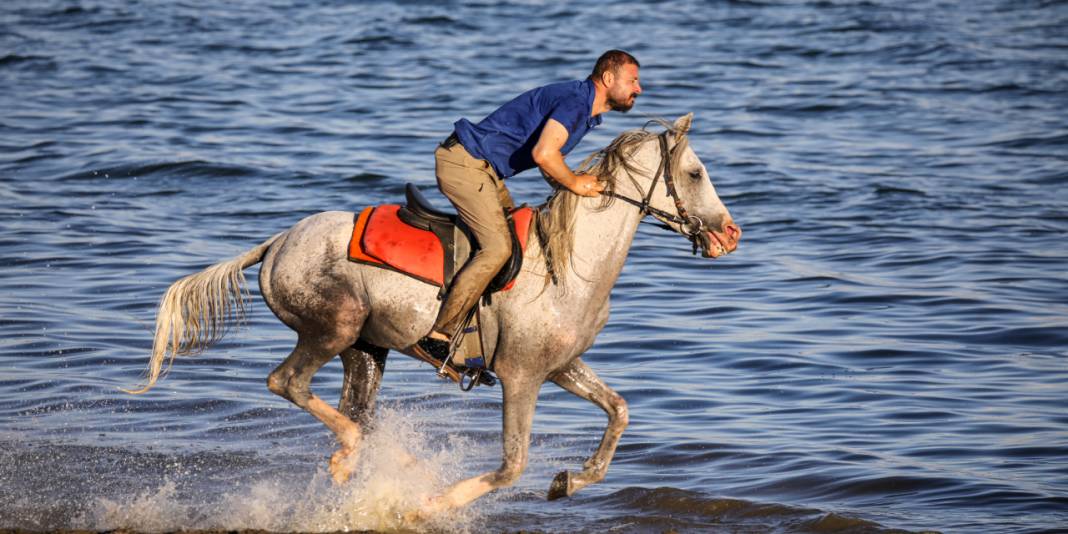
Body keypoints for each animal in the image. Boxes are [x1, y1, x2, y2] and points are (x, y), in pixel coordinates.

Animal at [127, 114, 743, 514]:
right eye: (695, 173)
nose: (730, 233)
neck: (570, 265)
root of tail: (277, 243)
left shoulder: (561, 367)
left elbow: (619, 412)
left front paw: (568, 481)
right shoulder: (520, 377)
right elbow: (512, 464)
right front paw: (433, 504)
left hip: (366, 351)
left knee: (356, 414)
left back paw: (362, 464)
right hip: (333, 330)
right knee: (288, 383)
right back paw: (359, 461)